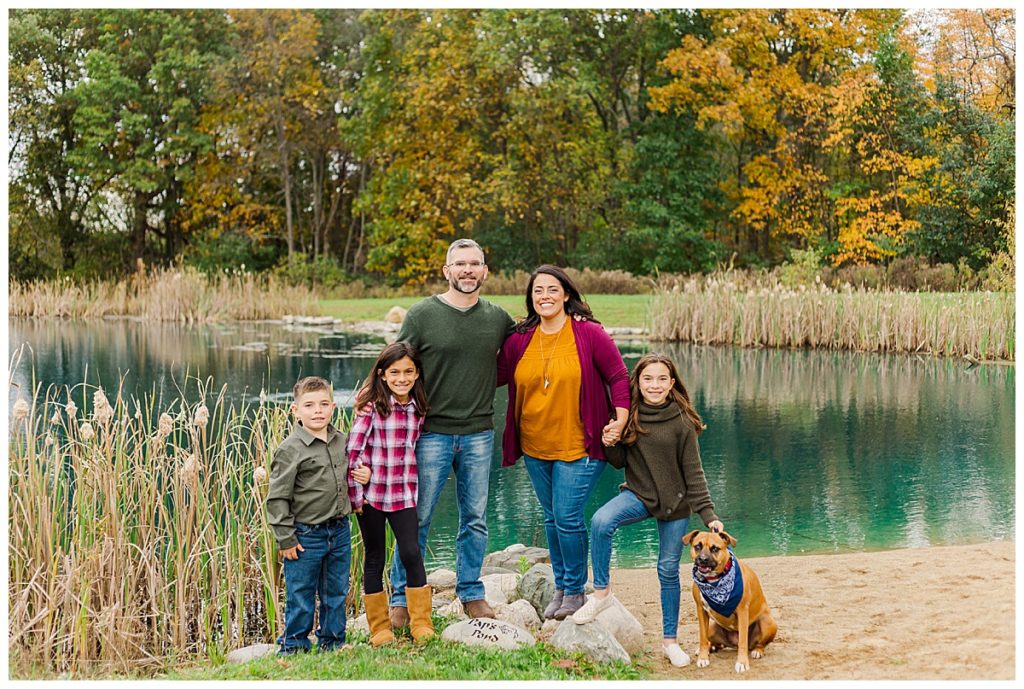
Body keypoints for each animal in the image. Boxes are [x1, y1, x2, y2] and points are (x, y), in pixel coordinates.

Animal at [684, 528, 778, 667]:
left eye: (715, 548)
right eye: (697, 546)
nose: (703, 559)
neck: (715, 581)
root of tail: (732, 644)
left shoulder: (743, 611)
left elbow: (743, 640)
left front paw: (742, 663)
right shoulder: (700, 610)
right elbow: (702, 637)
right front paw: (703, 657)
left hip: (768, 622)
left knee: (759, 643)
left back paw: (757, 651)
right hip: (712, 627)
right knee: (714, 643)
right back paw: (710, 648)